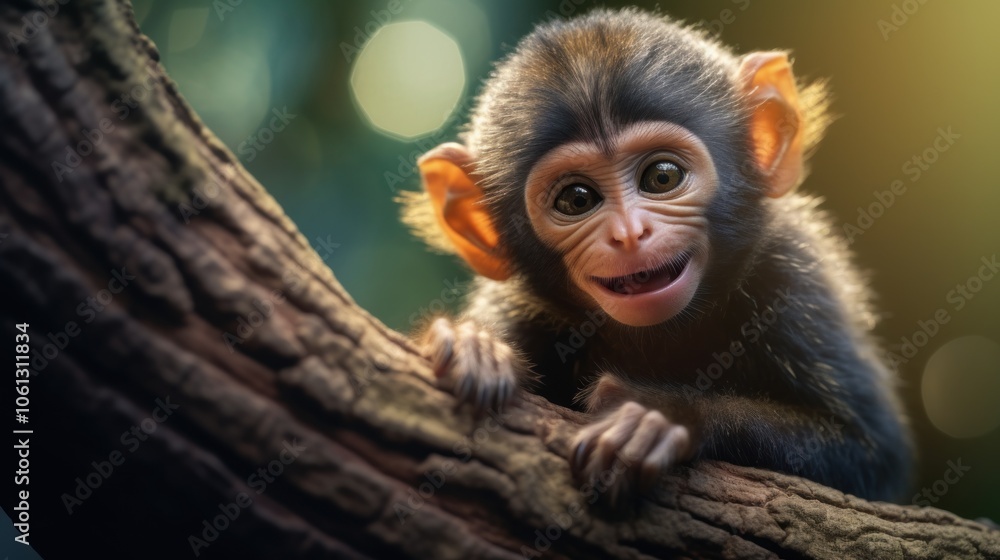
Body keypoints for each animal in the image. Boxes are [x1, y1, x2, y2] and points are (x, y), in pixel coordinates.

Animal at [400, 8, 912, 508]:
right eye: (577, 199)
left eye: (662, 177)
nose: (630, 234)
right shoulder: (520, 307)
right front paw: (474, 347)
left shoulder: (794, 282)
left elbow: (872, 456)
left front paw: (659, 417)